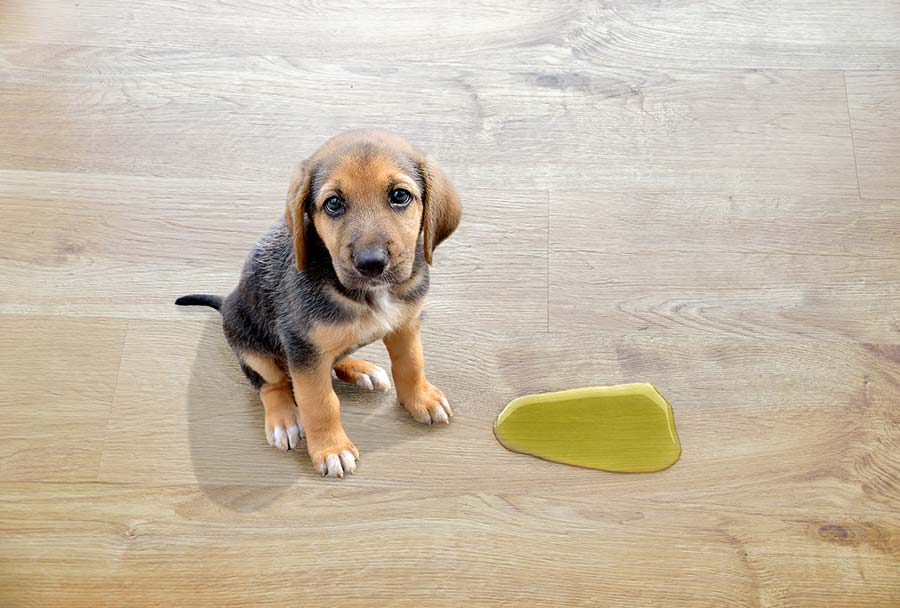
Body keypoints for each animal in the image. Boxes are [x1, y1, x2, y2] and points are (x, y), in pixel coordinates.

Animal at [175, 131, 460, 478]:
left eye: (400, 196)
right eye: (334, 203)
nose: (371, 264)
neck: (370, 295)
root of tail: (227, 301)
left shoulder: (406, 324)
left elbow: (411, 364)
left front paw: (420, 399)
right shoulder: (302, 346)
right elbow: (320, 402)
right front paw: (331, 449)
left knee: (333, 361)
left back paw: (361, 369)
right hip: (249, 343)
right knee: (271, 383)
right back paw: (283, 419)